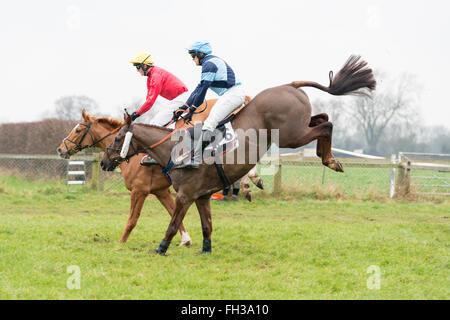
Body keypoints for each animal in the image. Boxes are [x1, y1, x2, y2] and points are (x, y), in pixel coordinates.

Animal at [101, 55, 376, 255]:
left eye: (117, 138)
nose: (104, 162)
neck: (172, 150)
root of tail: (289, 85)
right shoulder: (202, 196)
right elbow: (207, 226)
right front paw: (205, 250)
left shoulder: (184, 195)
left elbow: (171, 225)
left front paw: (160, 248)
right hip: (298, 127)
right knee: (323, 118)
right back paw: (327, 157)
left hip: (289, 134)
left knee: (326, 125)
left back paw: (331, 160)